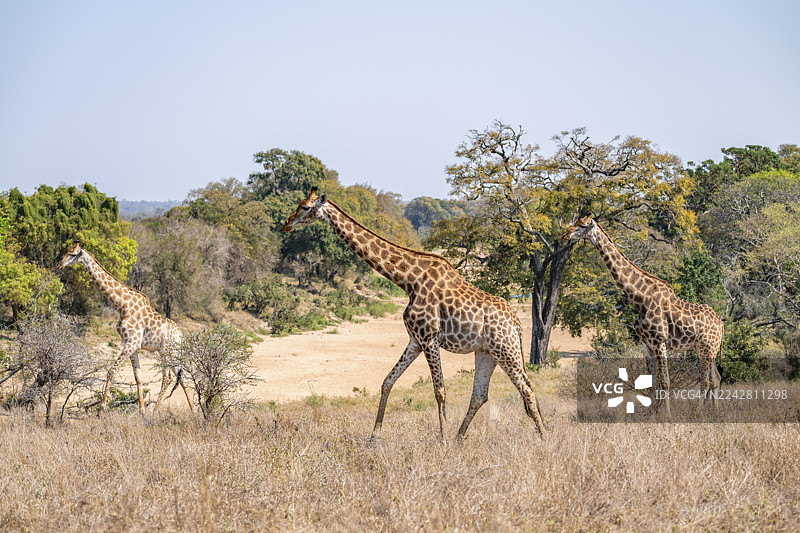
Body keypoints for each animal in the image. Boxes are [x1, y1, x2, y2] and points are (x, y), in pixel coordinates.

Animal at [58, 242, 193, 414]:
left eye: (73, 254)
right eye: (66, 252)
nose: (60, 264)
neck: (122, 305)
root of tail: (180, 335)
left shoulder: (132, 342)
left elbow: (111, 371)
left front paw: (102, 409)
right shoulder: (132, 344)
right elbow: (138, 377)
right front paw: (141, 411)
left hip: (165, 351)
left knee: (168, 377)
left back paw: (155, 412)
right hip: (174, 352)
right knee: (181, 377)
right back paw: (195, 411)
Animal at [283, 188, 545, 438]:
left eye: (305, 207)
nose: (286, 223)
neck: (408, 281)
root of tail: (517, 323)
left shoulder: (429, 339)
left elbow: (439, 391)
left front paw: (442, 439)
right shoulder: (415, 340)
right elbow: (387, 381)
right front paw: (374, 436)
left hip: (506, 350)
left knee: (527, 388)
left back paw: (544, 439)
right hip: (487, 353)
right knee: (480, 395)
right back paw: (459, 439)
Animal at [562, 216, 724, 415]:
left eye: (583, 225)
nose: (565, 235)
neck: (640, 298)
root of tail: (721, 324)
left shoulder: (660, 342)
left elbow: (665, 382)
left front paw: (667, 416)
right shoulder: (646, 345)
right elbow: (651, 383)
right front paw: (652, 414)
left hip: (706, 347)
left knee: (706, 381)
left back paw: (699, 412)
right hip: (707, 349)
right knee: (716, 378)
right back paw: (715, 412)